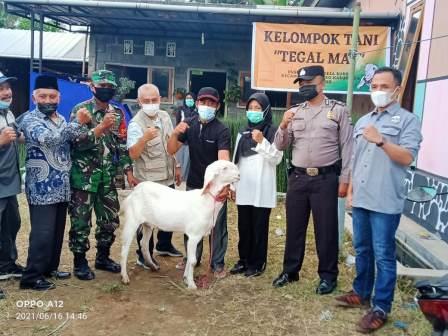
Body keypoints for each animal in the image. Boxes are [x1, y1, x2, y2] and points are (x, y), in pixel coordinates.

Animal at [119, 160, 238, 288]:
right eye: (224, 168)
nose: (239, 174)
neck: (205, 200)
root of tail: (135, 190)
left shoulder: (195, 236)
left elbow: (190, 259)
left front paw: (186, 278)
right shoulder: (194, 235)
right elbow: (193, 261)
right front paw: (191, 284)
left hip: (148, 224)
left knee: (144, 244)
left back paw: (152, 266)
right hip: (132, 220)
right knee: (125, 248)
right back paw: (124, 277)